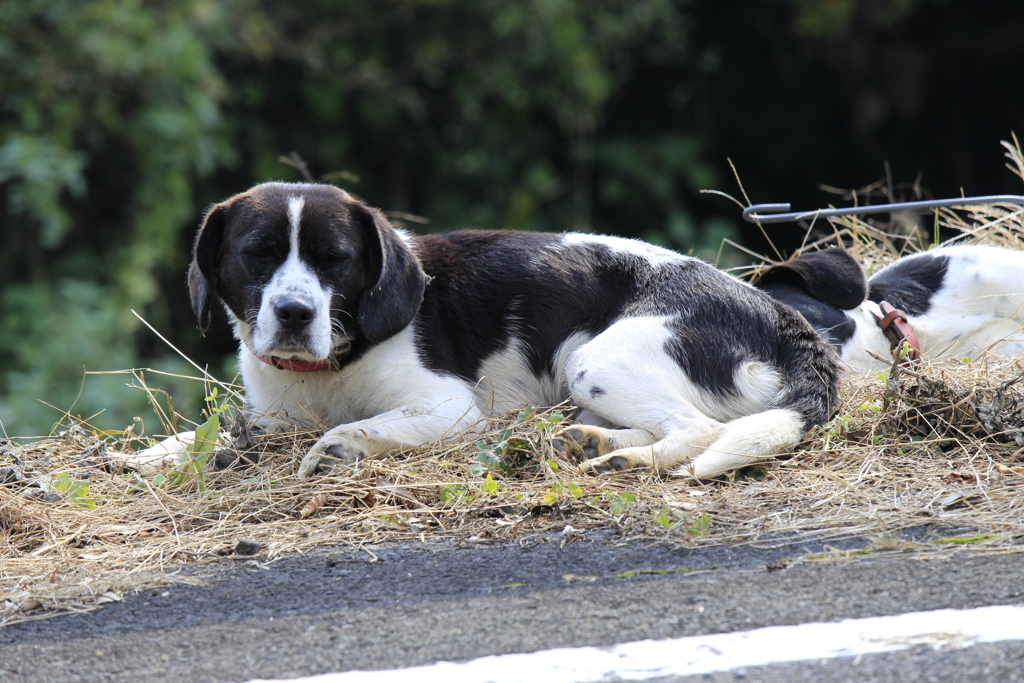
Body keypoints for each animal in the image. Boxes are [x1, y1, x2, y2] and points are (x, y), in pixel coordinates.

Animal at [182, 184, 839, 479]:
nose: (294, 313)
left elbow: (359, 426)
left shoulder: (448, 408)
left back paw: (622, 459)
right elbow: (196, 442)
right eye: (258, 253)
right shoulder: (271, 420)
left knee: (697, 429)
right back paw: (593, 444)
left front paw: (341, 445)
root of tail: (789, 326)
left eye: (334, 259)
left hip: (594, 361)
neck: (329, 368)